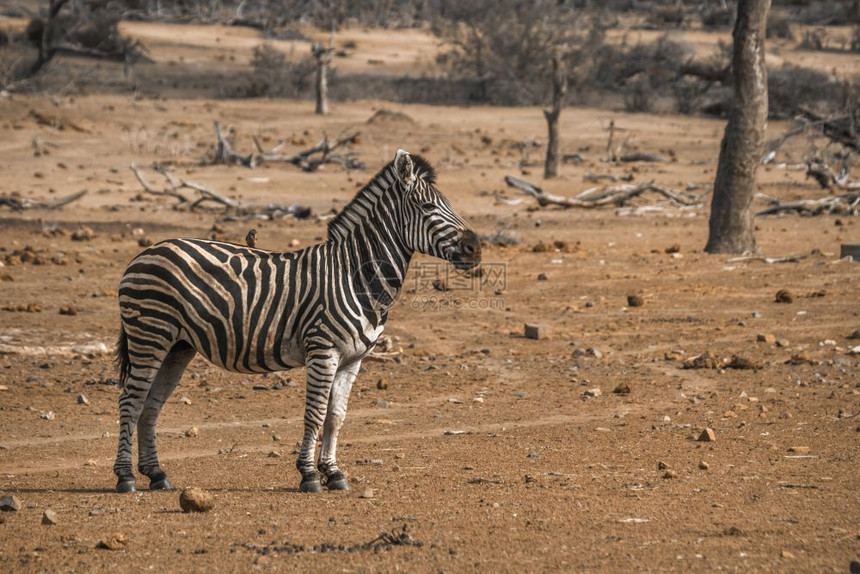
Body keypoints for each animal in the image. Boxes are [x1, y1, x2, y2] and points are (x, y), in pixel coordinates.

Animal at [111, 150, 480, 496]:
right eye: (428, 206)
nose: (475, 248)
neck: (356, 274)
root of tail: (146, 252)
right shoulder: (323, 351)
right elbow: (314, 414)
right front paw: (310, 475)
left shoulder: (353, 360)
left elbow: (335, 417)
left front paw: (334, 473)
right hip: (150, 335)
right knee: (131, 401)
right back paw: (126, 477)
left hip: (178, 345)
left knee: (150, 406)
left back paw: (156, 474)